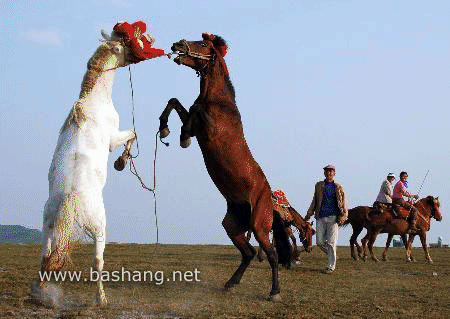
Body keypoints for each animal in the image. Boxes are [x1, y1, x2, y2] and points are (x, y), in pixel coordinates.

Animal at [31, 26, 146, 306]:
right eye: (124, 44)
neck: (93, 101)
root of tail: (70, 198)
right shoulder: (114, 137)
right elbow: (133, 134)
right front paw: (121, 162)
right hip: (99, 229)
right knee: (97, 262)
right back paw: (101, 298)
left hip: (47, 227)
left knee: (45, 256)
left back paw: (40, 291)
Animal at [158, 33, 292, 302]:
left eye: (202, 44)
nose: (176, 45)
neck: (219, 102)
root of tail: (271, 202)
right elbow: (175, 101)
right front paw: (167, 129)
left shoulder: (207, 127)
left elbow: (193, 111)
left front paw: (182, 136)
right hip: (233, 226)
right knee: (248, 252)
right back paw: (231, 283)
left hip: (259, 226)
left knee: (271, 254)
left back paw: (274, 292)